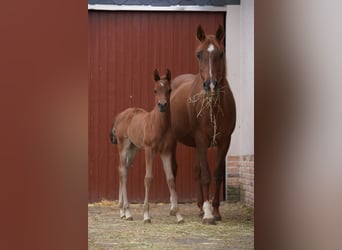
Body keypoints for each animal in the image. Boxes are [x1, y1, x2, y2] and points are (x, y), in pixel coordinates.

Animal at [109, 69, 184, 224]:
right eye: (155, 90)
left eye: (169, 90)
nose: (162, 105)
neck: (159, 125)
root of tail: (120, 115)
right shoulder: (149, 150)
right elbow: (148, 178)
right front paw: (146, 215)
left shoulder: (166, 152)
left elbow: (171, 179)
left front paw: (179, 215)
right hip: (124, 146)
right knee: (122, 171)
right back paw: (127, 211)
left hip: (133, 149)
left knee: (124, 171)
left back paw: (123, 212)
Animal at [170, 25, 236, 225]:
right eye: (199, 54)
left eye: (220, 53)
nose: (211, 85)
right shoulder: (201, 139)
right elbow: (206, 175)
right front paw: (208, 214)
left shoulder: (224, 141)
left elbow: (216, 174)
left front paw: (215, 211)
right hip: (174, 140)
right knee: (173, 169)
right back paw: (174, 208)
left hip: (196, 145)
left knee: (195, 171)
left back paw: (199, 207)